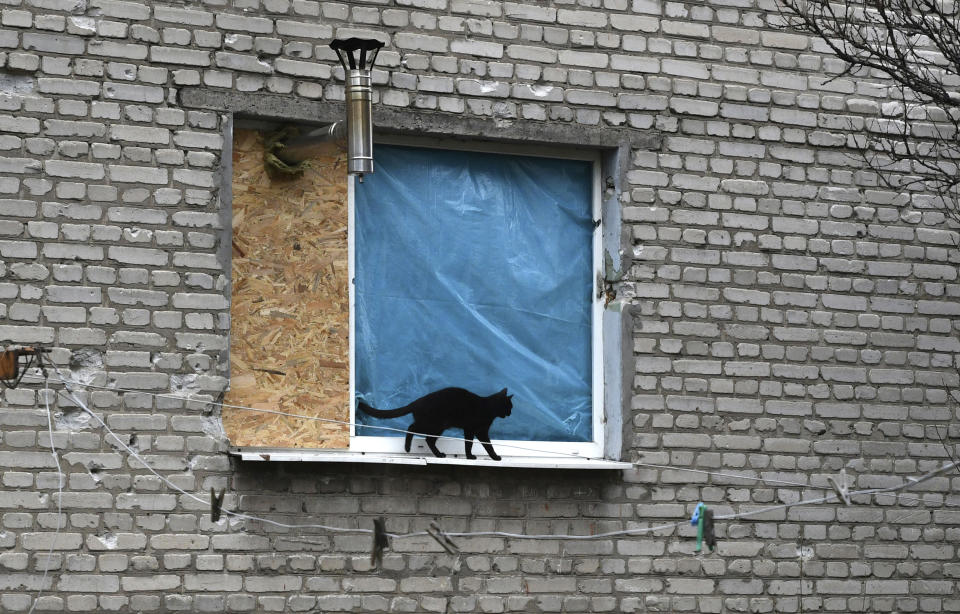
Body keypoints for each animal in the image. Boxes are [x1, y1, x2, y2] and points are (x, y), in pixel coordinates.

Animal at [358, 390, 510, 462]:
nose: (510, 413)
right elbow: (482, 445)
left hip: (437, 426)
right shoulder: (476, 430)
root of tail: (417, 401)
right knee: (412, 428)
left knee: (428, 439)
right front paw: (492, 457)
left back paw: (438, 454)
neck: (488, 407)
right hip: (435, 424)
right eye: (509, 406)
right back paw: (408, 448)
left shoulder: (473, 430)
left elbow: (474, 444)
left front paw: (472, 456)